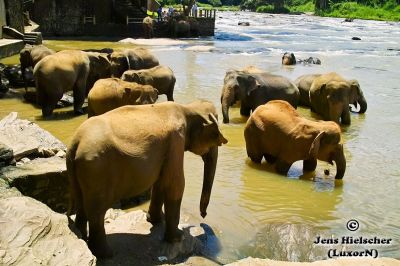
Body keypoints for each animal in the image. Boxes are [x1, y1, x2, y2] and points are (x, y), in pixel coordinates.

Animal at [67, 100, 227, 258]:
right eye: (214, 138)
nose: (203, 215)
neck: (186, 107)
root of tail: (75, 143)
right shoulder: (176, 140)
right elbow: (175, 184)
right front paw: (178, 237)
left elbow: (160, 182)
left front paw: (156, 220)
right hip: (97, 169)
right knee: (97, 212)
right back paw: (106, 254)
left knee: (81, 204)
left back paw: (83, 239)